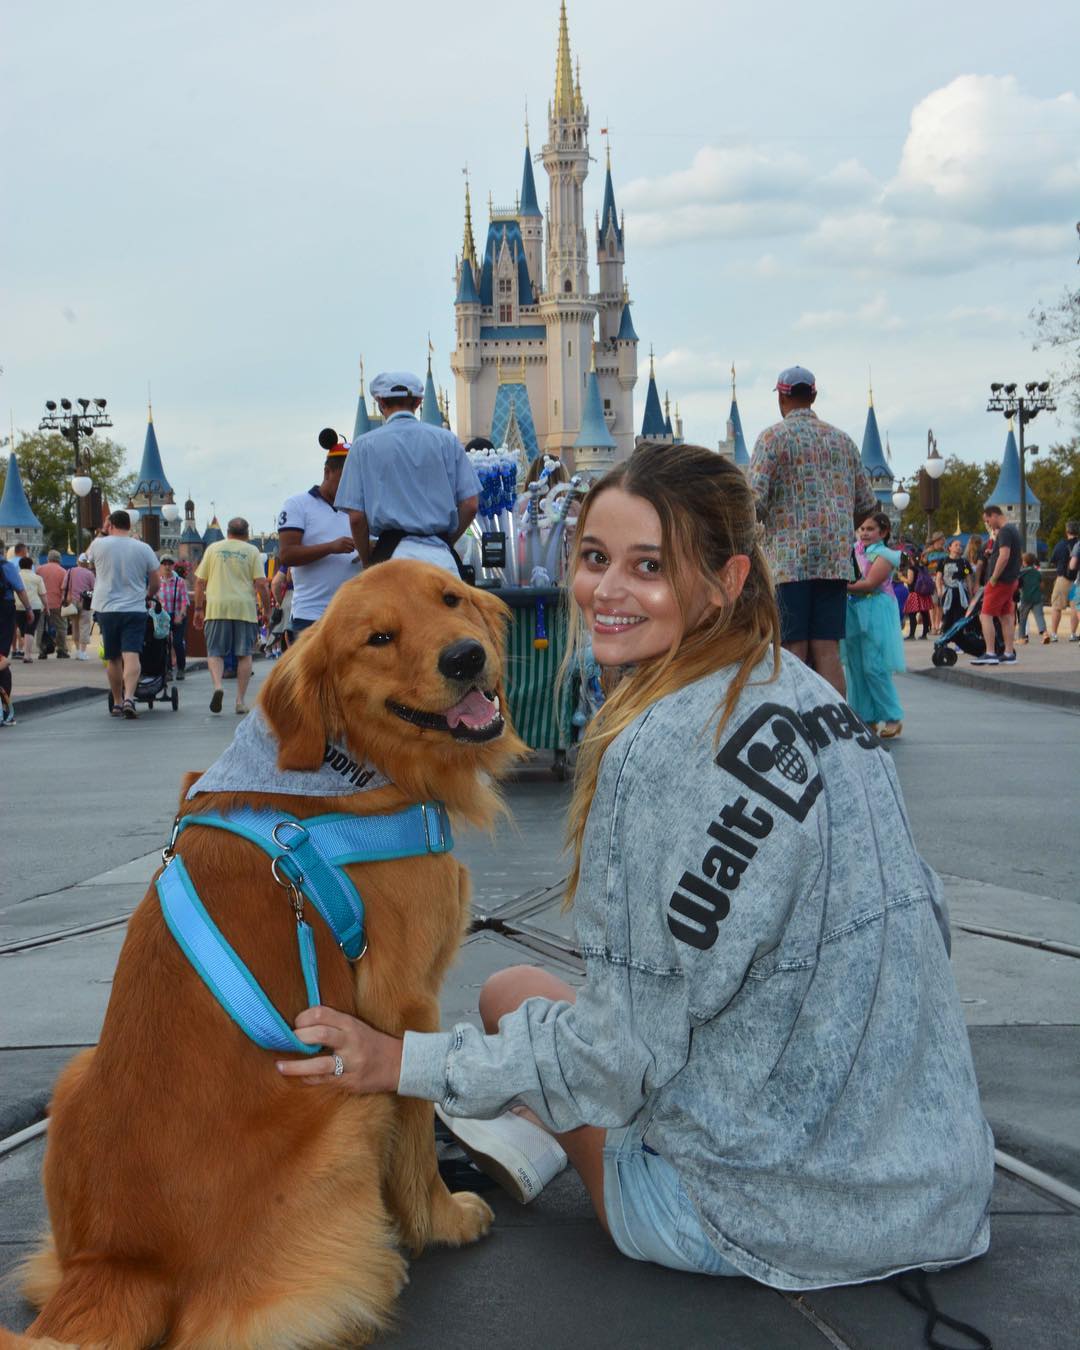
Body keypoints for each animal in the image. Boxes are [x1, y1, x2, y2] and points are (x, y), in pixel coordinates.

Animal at [6, 561, 529, 1350]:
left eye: (450, 598)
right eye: (379, 638)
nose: (466, 657)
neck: (347, 764)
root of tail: (122, 1264)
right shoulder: (405, 1005)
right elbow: (414, 1123)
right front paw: (439, 1220)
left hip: (73, 1077)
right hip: (346, 1112)